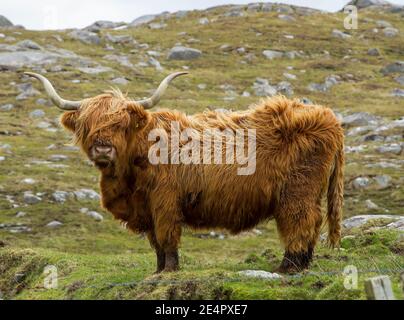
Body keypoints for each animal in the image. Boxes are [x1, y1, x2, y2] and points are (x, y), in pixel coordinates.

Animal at [25, 72, 344, 272]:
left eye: (120, 124)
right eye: (87, 124)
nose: (103, 149)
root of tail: (328, 116)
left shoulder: (166, 202)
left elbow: (167, 238)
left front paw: (169, 271)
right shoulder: (146, 208)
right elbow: (154, 241)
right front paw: (156, 272)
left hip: (297, 192)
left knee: (301, 222)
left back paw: (288, 266)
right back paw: (302, 263)